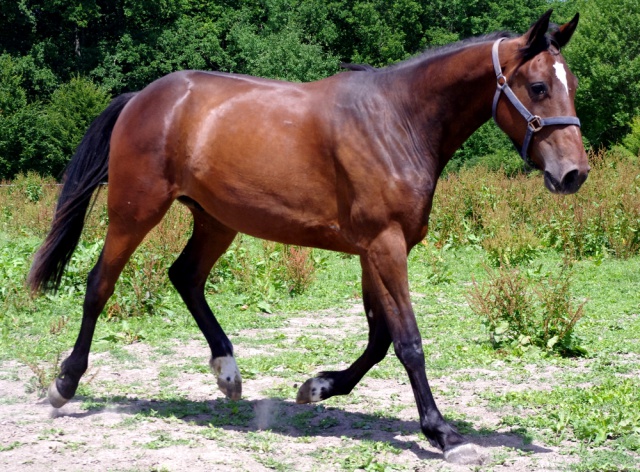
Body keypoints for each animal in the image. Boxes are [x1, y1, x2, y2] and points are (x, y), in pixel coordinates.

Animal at [28, 10, 592, 464]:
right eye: (538, 87)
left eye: (572, 85)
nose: (573, 174)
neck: (398, 121)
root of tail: (140, 99)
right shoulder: (385, 246)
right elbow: (408, 341)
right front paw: (445, 435)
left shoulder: (375, 250)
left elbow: (380, 338)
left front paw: (318, 386)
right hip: (135, 211)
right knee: (99, 285)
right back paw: (64, 384)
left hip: (216, 220)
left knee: (185, 276)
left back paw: (227, 373)